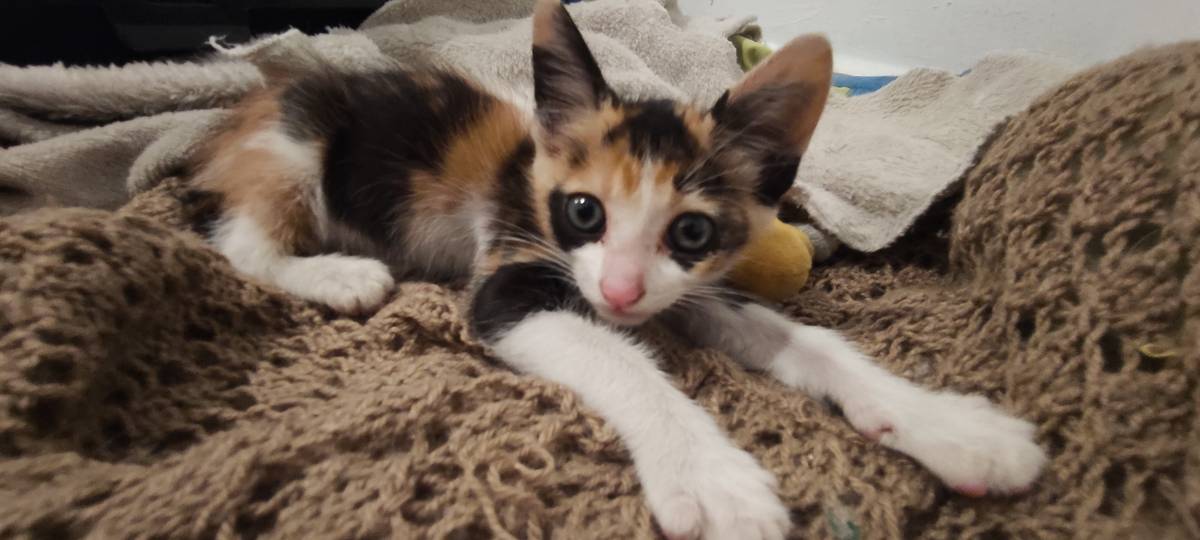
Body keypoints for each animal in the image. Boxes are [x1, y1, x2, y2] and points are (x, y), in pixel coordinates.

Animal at [191, 1, 1047, 537]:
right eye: (583, 213)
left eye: (693, 231)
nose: (620, 291)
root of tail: (243, 105)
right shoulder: (512, 280)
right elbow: (624, 362)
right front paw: (710, 476)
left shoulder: (686, 286)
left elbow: (803, 341)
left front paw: (953, 426)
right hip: (296, 139)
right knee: (238, 242)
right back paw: (337, 276)